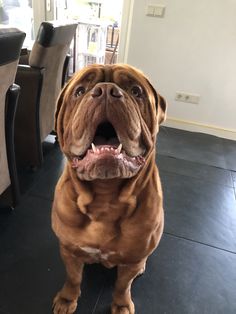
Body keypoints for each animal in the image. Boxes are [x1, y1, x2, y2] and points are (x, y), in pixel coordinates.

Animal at [52, 62, 166, 312]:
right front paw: (67, 299)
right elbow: (73, 278)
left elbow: (123, 286)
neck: (106, 198)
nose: (105, 90)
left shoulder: (131, 260)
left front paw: (121, 305)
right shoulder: (68, 250)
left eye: (135, 91)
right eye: (79, 91)